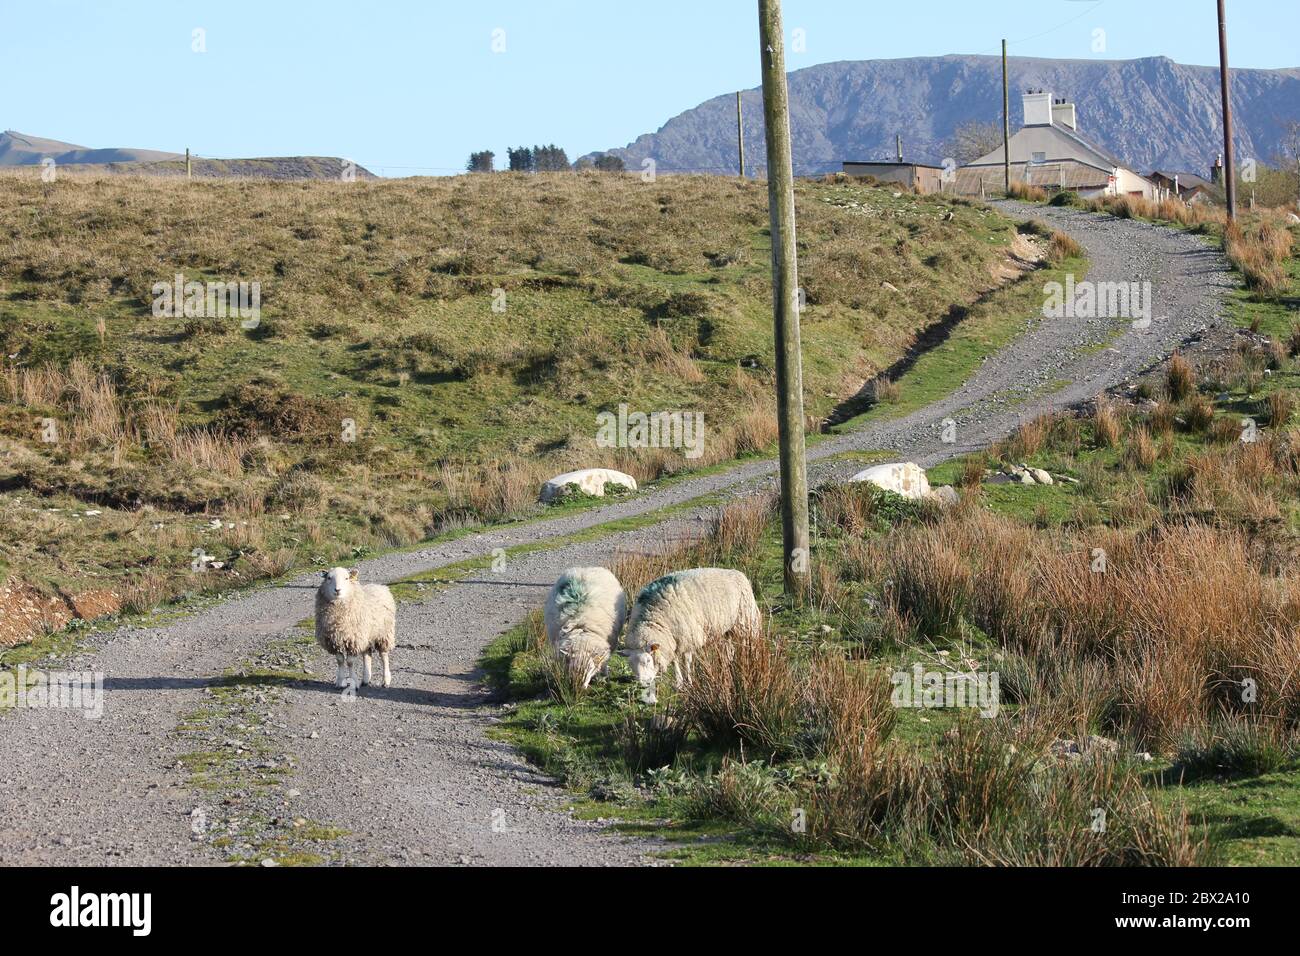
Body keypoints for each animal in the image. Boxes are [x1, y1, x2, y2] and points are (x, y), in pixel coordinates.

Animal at [621, 564, 759, 707]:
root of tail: (737, 572)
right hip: (728, 628)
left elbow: (686, 660)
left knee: (747, 644)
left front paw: (688, 681)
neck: (653, 617)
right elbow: (675, 661)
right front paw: (679, 682)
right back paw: (728, 663)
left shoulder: (688, 637)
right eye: (630, 664)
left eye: (648, 660)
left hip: (745, 621)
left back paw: (748, 661)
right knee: (729, 648)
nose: (643, 684)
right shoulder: (674, 640)